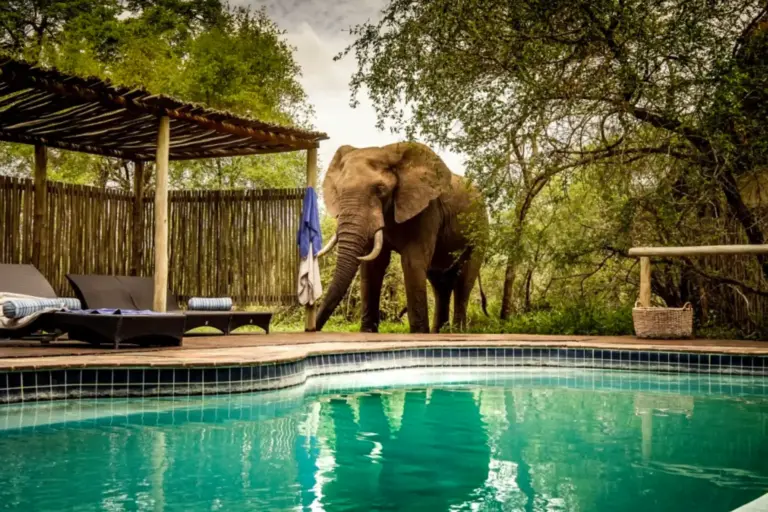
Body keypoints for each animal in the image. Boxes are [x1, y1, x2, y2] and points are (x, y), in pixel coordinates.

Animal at [314, 142, 488, 333]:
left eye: (380, 190)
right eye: (338, 191)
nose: (312, 329)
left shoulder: (427, 209)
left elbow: (412, 261)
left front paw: (419, 334)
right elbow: (372, 265)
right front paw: (367, 332)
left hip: (480, 230)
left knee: (463, 280)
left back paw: (457, 332)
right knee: (440, 283)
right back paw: (440, 332)